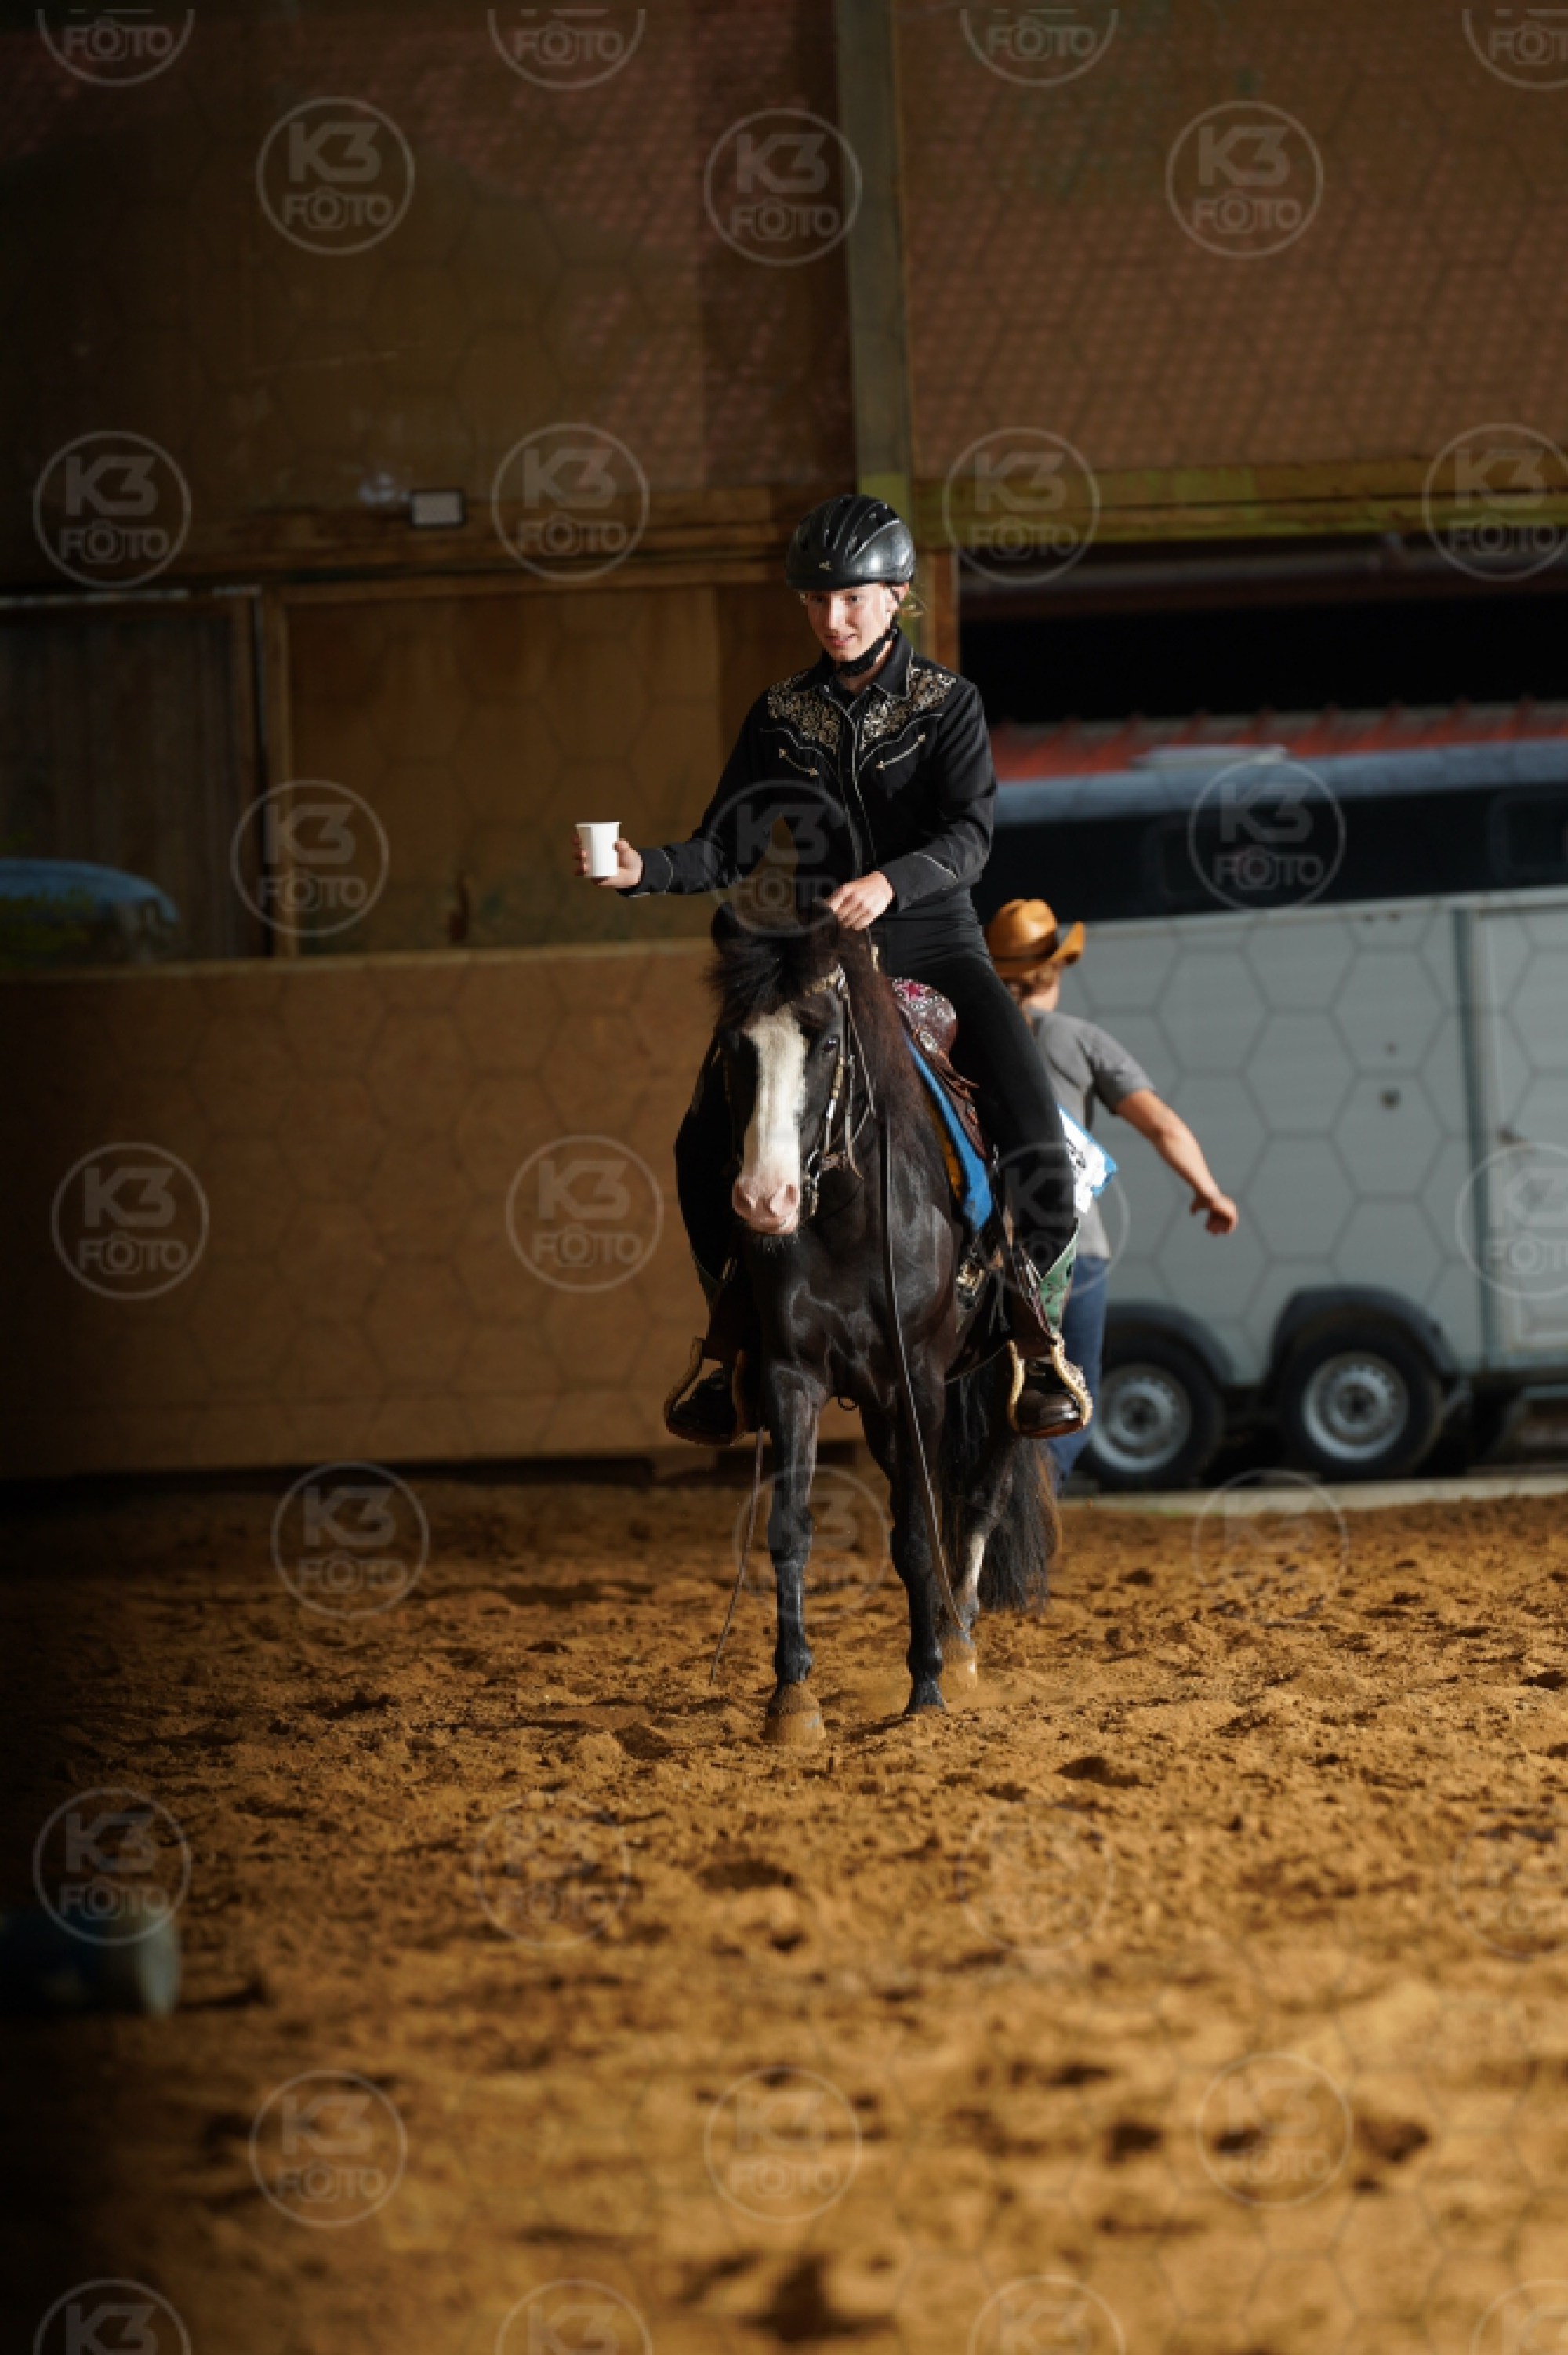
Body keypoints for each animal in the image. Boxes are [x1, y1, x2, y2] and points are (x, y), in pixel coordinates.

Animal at [707, 898, 1057, 1743]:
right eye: (734, 1045)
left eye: (828, 1040)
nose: (763, 1200)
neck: (845, 1210)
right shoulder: (792, 1375)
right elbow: (789, 1527)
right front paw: (792, 1695)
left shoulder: (916, 1380)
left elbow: (916, 1531)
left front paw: (925, 1683)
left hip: (1000, 1375)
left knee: (979, 1497)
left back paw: (958, 1644)